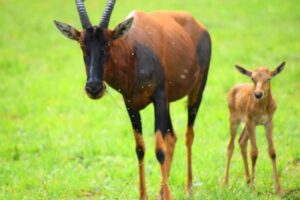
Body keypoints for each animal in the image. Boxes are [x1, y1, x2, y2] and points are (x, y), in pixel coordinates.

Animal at [54, 0, 211, 198]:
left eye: (107, 44)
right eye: (82, 45)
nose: (94, 88)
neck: (133, 50)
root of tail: (198, 25)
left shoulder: (159, 98)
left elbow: (159, 150)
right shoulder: (131, 105)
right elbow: (140, 148)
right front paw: (144, 196)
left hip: (196, 92)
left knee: (188, 134)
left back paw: (188, 188)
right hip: (167, 103)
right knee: (172, 137)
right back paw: (161, 192)